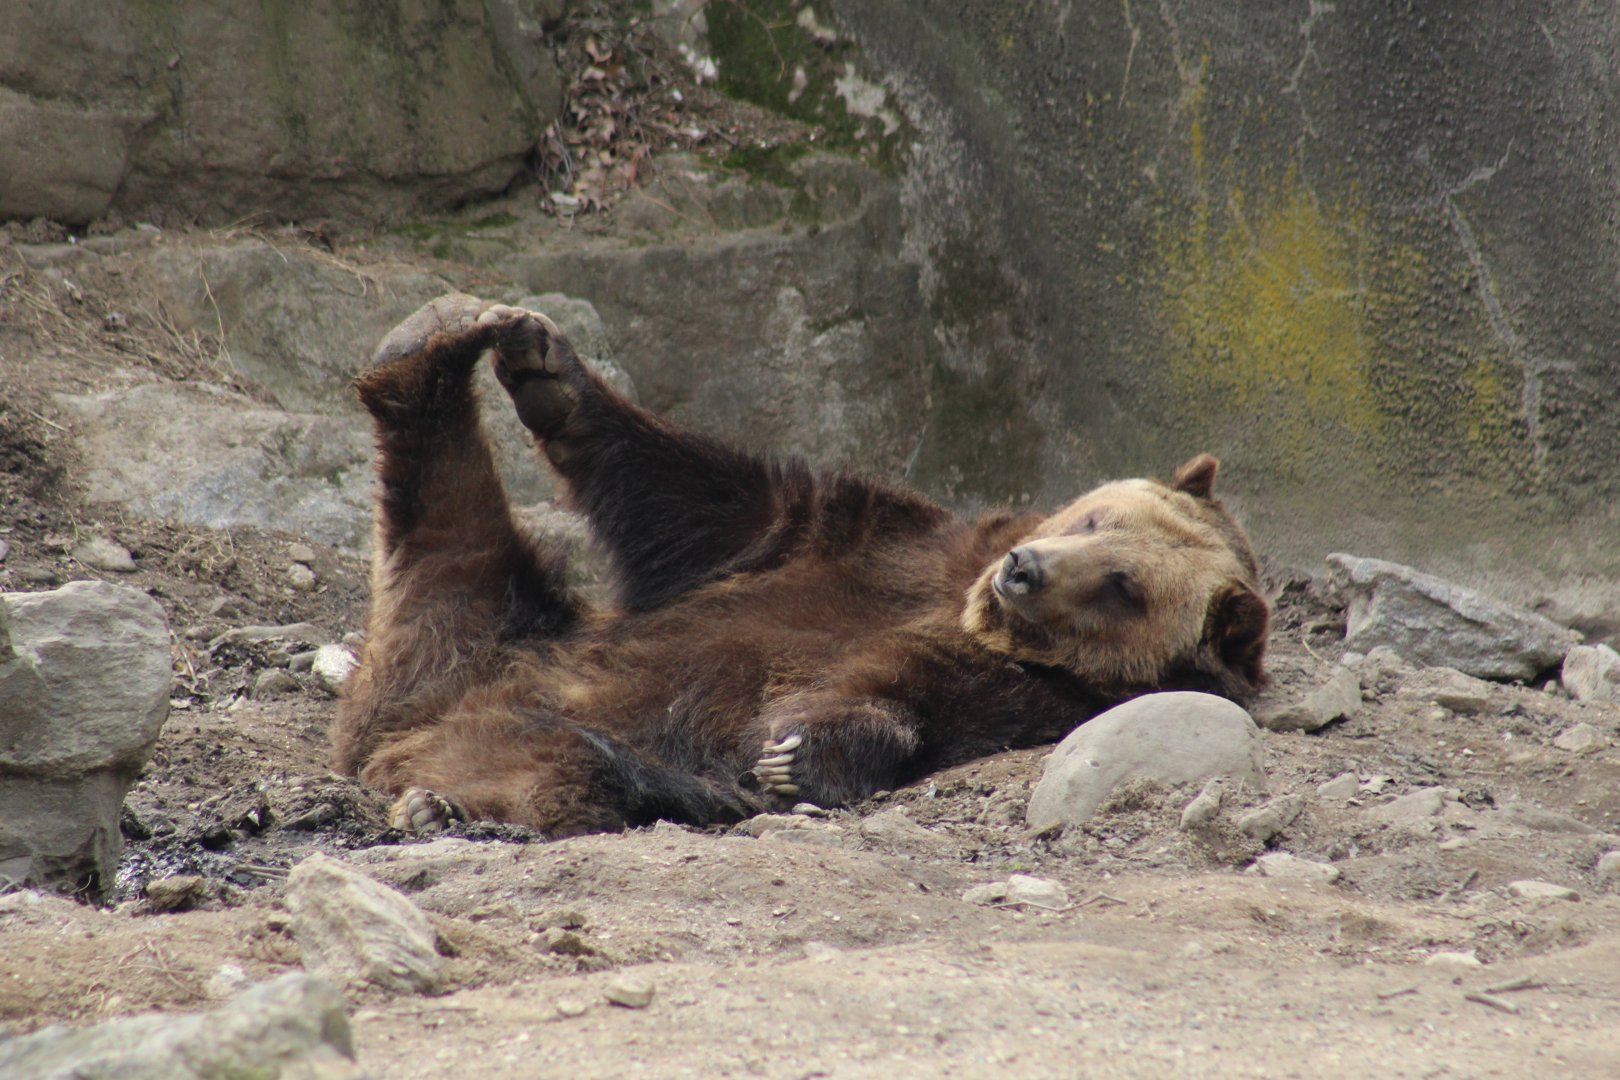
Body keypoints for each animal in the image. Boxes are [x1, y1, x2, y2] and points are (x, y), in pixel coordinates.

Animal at [332, 294, 1269, 836]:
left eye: (1125, 585)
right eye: (1098, 515)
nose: (1025, 569)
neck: (960, 603)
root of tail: (390, 742)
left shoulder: (1021, 694)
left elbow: (897, 709)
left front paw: (796, 757)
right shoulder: (866, 541)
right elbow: (698, 493)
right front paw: (545, 366)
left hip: (503, 686)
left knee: (572, 763)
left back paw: (451, 806)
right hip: (488, 632)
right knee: (452, 526)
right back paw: (426, 345)